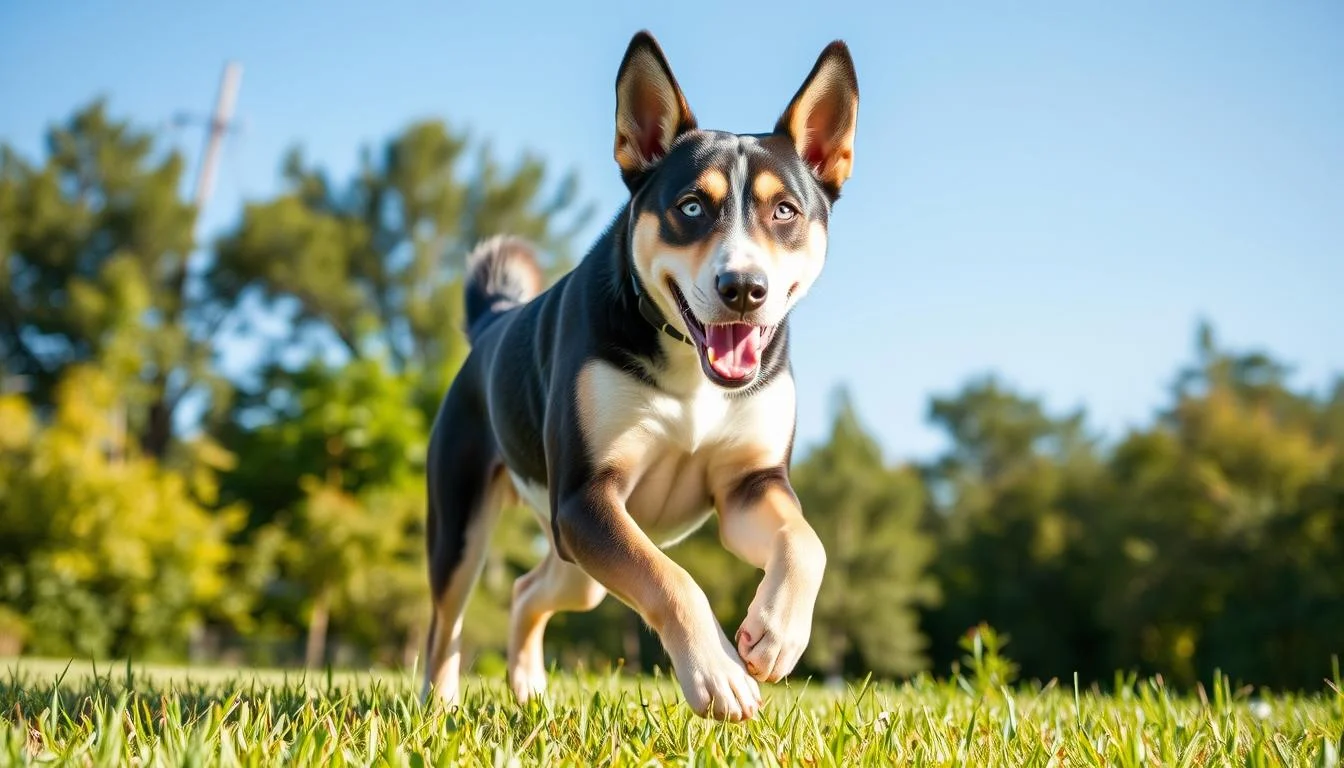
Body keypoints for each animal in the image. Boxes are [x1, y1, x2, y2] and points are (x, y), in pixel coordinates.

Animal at [422, 27, 860, 720]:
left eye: (786, 210)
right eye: (691, 206)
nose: (743, 288)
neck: (691, 371)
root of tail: (493, 322)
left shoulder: (748, 485)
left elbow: (805, 541)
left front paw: (776, 634)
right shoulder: (587, 497)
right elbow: (669, 578)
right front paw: (719, 673)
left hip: (572, 558)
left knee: (526, 591)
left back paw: (529, 689)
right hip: (469, 525)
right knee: (446, 623)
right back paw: (438, 707)